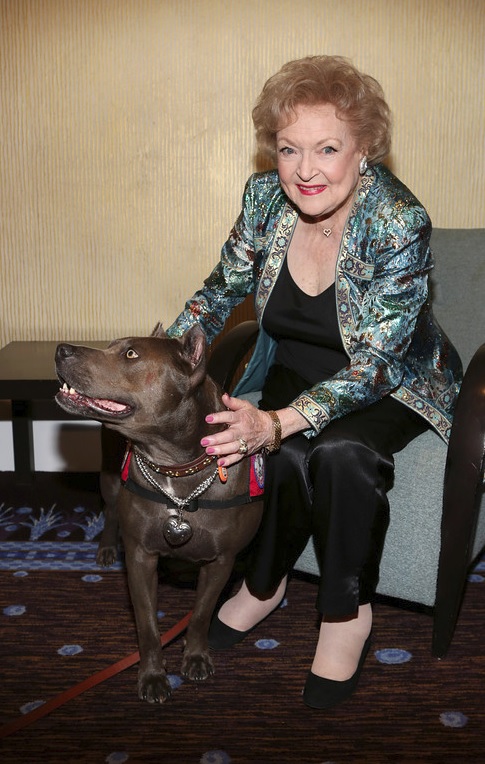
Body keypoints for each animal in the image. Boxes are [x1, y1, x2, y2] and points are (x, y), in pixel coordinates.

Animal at [54, 322, 262, 704]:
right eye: (113, 347)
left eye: (130, 354)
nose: (61, 349)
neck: (176, 467)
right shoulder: (140, 557)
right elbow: (148, 624)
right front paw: (152, 676)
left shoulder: (221, 562)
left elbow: (201, 614)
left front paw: (195, 656)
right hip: (110, 475)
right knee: (111, 511)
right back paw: (107, 548)